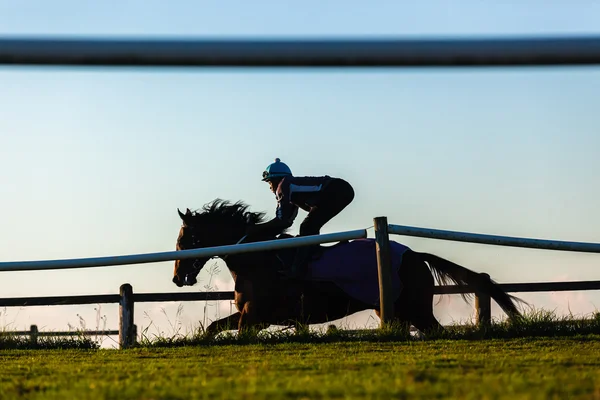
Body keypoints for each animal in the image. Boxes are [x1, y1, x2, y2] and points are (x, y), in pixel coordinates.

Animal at [171, 199, 524, 334]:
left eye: (186, 238)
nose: (177, 278)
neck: (257, 258)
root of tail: (416, 255)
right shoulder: (250, 315)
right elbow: (211, 329)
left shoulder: (257, 316)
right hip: (393, 310)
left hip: (417, 308)